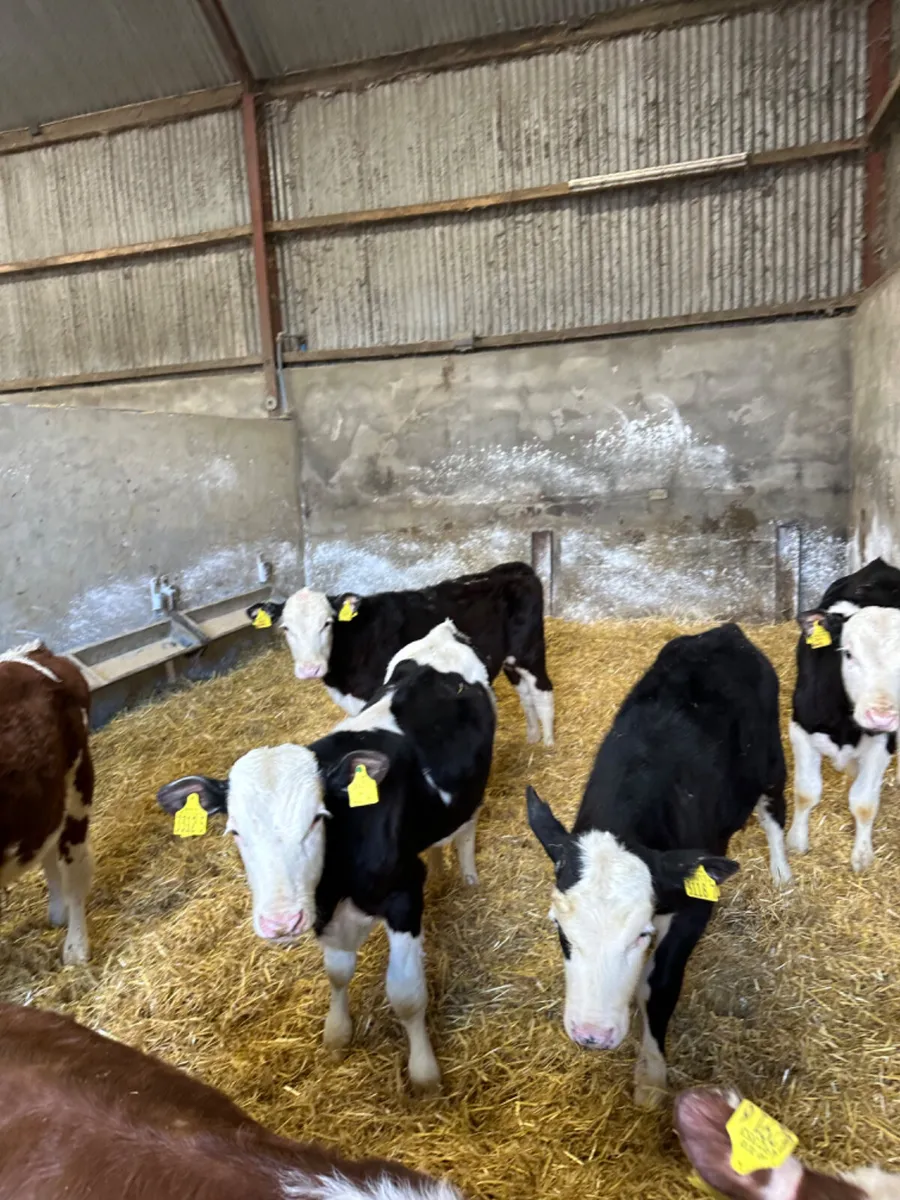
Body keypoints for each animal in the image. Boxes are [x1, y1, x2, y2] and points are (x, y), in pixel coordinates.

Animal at [0, 641, 94, 964]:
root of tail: (33, 652)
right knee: (48, 849)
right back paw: (57, 913)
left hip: (78, 787)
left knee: (75, 871)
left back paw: (76, 949)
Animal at [158, 620, 496, 1091]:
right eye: (235, 831)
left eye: (318, 818)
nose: (281, 922)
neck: (337, 885)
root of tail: (442, 632)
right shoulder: (322, 910)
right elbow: (337, 972)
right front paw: (337, 1034)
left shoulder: (403, 894)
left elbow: (407, 995)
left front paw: (425, 1074)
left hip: (474, 788)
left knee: (466, 828)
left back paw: (466, 874)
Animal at [246, 561, 554, 745]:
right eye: (285, 627)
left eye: (327, 623)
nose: (310, 668)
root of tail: (514, 568)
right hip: (512, 660)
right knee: (525, 694)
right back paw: (533, 737)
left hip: (530, 650)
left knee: (543, 691)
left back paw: (548, 746)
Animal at [525, 623, 790, 1109]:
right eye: (560, 930)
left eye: (641, 935)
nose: (591, 1034)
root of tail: (725, 630)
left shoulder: (694, 905)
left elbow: (658, 984)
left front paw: (650, 1077)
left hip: (771, 762)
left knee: (773, 812)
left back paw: (783, 873)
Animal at [787, 556, 900, 872]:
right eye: (847, 653)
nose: (881, 716)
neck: (844, 727)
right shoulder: (800, 728)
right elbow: (806, 791)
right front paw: (796, 841)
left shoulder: (884, 742)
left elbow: (864, 803)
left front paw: (862, 856)